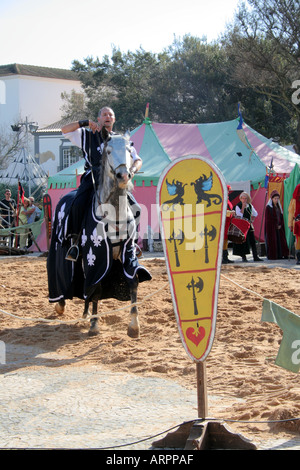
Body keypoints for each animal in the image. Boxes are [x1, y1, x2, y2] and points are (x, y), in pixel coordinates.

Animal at [47, 129, 151, 338]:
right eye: (108, 151)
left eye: (130, 150)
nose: (123, 175)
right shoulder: (95, 255)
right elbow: (96, 286)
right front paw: (94, 324)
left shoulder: (128, 253)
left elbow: (133, 280)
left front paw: (134, 326)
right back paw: (61, 305)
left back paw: (85, 312)